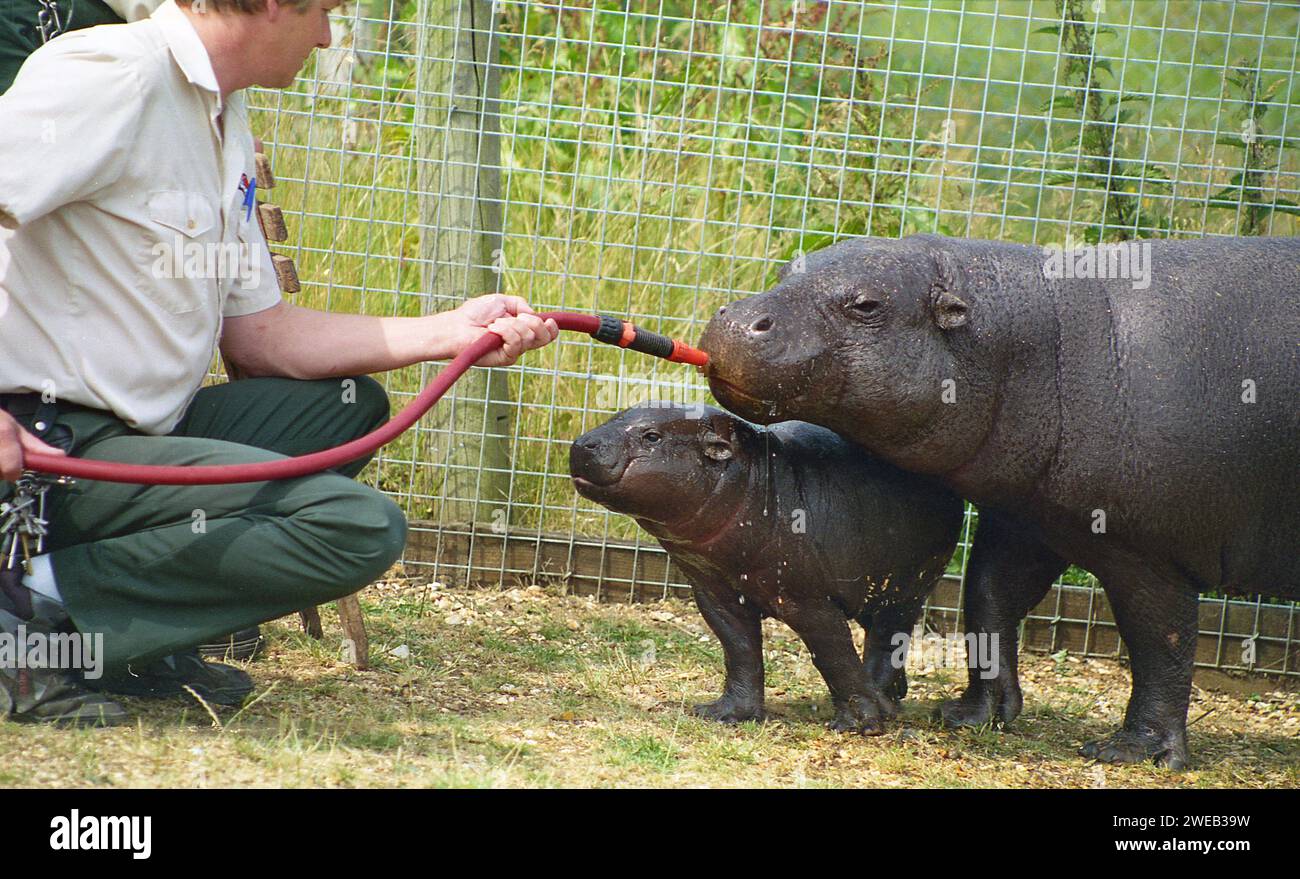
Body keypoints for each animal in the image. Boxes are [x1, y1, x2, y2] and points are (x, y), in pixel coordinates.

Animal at [572, 405, 967, 733]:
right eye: (615, 415)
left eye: (652, 436)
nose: (581, 444)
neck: (754, 481)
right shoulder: (717, 593)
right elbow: (740, 651)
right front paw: (724, 714)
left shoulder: (809, 600)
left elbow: (834, 656)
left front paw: (857, 725)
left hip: (906, 589)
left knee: (887, 641)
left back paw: (883, 703)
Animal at [702, 234, 1300, 769]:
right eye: (788, 270)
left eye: (867, 305)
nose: (733, 318)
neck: (1041, 340)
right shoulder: (1033, 518)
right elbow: (990, 599)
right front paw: (969, 715)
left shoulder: (1148, 551)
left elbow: (1161, 645)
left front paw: (1131, 752)